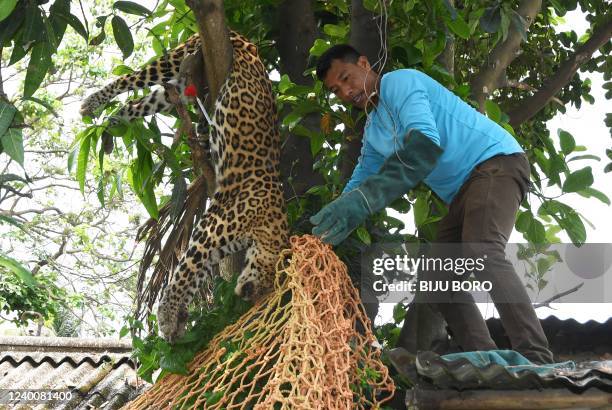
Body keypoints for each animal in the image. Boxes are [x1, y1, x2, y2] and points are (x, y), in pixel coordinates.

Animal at [80, 31, 288, 342]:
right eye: (269, 281)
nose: (250, 295)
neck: (272, 222)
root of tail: (244, 39)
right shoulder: (212, 227)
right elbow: (185, 269)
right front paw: (167, 315)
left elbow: (195, 275)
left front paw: (176, 318)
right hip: (174, 60)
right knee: (130, 78)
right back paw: (92, 103)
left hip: (175, 89)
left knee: (136, 104)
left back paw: (110, 127)